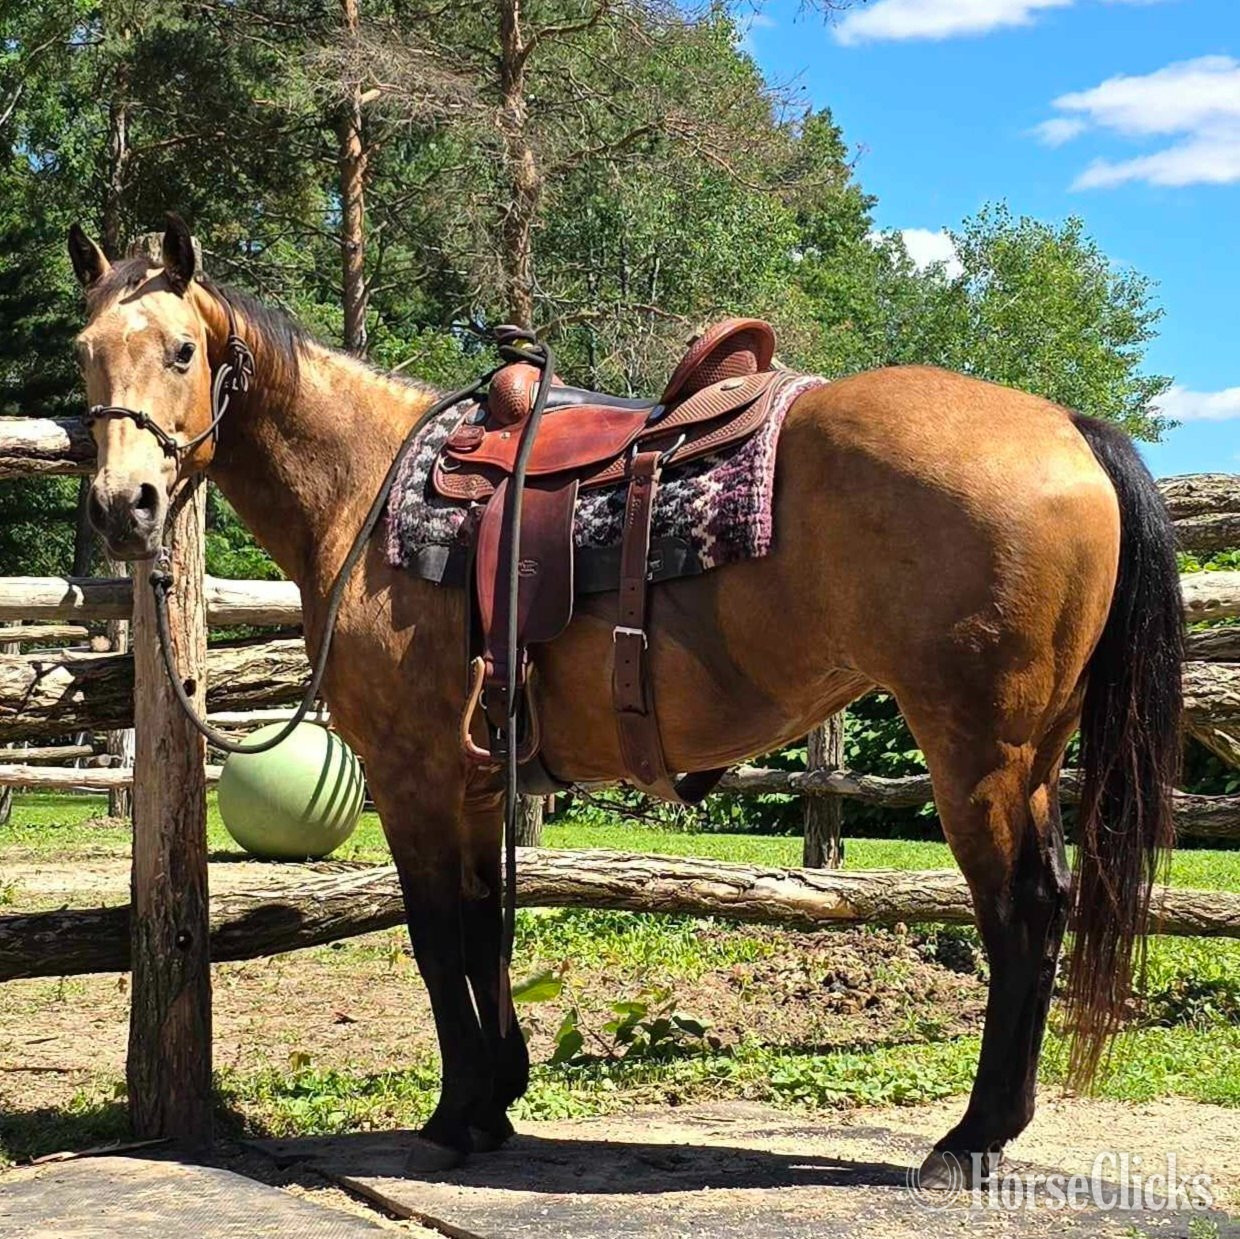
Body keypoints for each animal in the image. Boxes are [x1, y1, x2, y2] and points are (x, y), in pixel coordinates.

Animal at [67, 215, 1183, 1185]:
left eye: (181, 349)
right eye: (85, 354)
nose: (125, 507)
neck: (369, 491)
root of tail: (1068, 429)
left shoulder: (412, 769)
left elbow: (437, 935)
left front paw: (459, 1113)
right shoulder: (478, 777)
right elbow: (484, 922)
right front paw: (496, 1095)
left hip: (977, 751)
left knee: (1022, 911)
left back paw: (971, 1137)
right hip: (1032, 753)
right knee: (1045, 905)